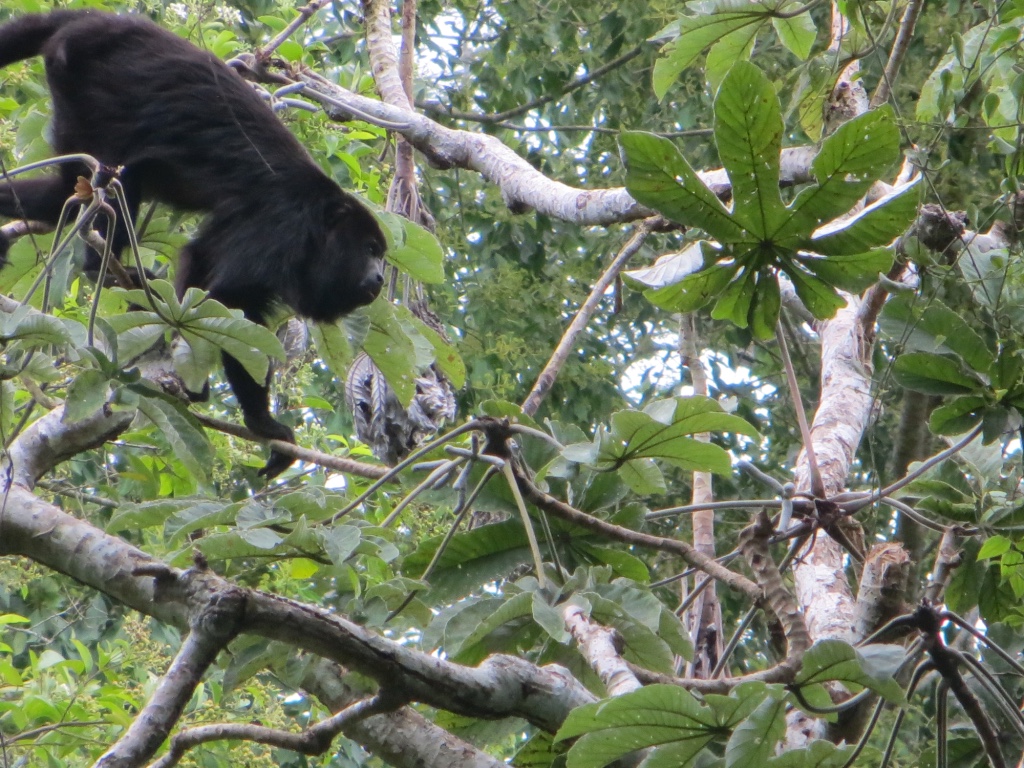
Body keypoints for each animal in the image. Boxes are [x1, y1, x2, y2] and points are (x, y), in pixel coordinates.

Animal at [0, 9, 387, 481]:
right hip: (90, 82)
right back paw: (102, 264)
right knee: (120, 175)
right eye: (369, 249)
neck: (318, 222)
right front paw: (264, 423)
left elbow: (199, 263)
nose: (380, 278)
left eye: (381, 255)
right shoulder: (283, 226)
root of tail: (102, 20)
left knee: (64, 192)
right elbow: (231, 302)